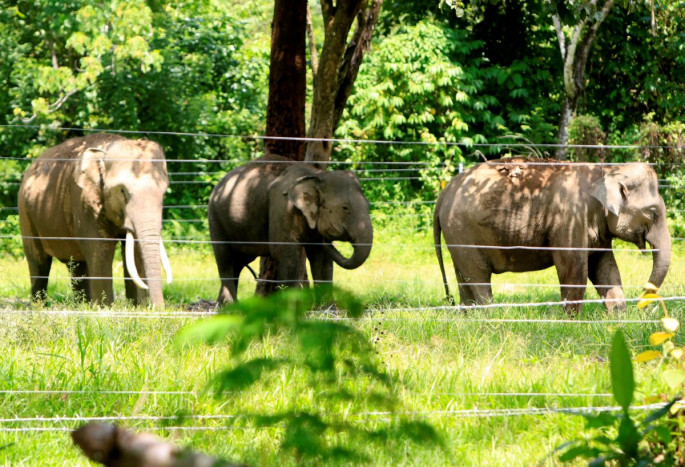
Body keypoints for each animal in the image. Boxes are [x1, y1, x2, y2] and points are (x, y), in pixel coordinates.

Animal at [18, 133, 172, 308]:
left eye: (164, 192)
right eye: (122, 191)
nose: (158, 308)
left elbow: (134, 250)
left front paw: (138, 308)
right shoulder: (84, 200)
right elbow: (100, 247)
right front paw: (105, 308)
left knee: (76, 264)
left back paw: (82, 305)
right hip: (25, 212)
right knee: (38, 261)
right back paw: (40, 306)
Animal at [207, 155, 374, 306]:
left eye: (368, 205)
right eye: (345, 208)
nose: (328, 239)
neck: (317, 176)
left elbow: (322, 259)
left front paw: (326, 306)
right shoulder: (283, 210)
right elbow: (287, 254)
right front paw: (290, 309)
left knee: (239, 261)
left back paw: (225, 305)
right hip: (215, 219)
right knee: (225, 258)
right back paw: (229, 306)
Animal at [436, 157, 672, 314]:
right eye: (652, 212)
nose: (641, 305)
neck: (608, 169)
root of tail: (444, 193)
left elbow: (606, 268)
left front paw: (617, 317)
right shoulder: (570, 218)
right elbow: (574, 269)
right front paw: (572, 321)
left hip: (457, 236)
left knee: (464, 275)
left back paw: (469, 316)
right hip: (462, 231)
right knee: (478, 275)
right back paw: (492, 316)